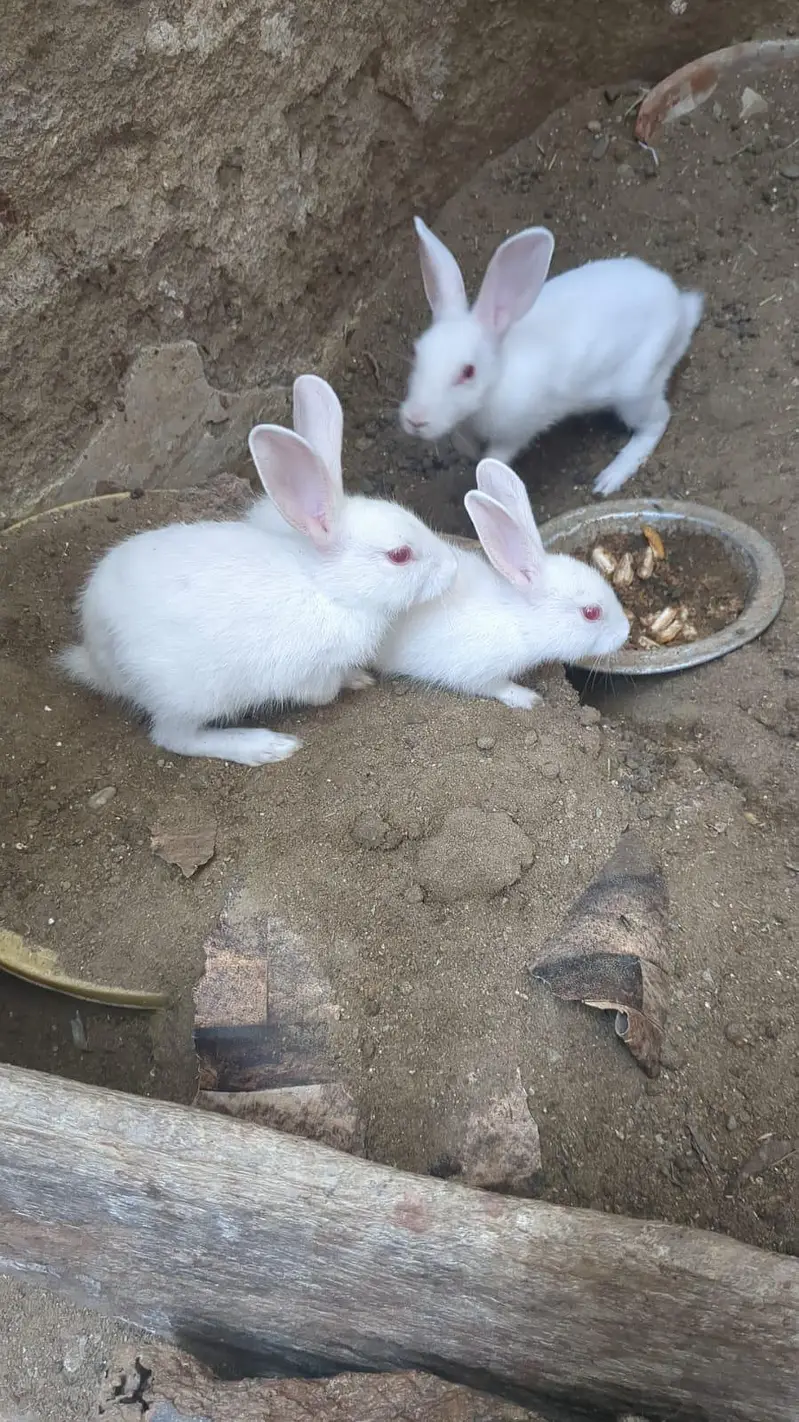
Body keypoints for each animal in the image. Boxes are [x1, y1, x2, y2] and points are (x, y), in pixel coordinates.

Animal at [58, 375, 458, 765]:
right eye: (400, 555)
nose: (452, 567)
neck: (328, 588)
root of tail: (97, 654)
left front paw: (359, 678)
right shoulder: (310, 671)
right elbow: (322, 693)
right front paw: (349, 683)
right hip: (192, 693)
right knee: (175, 737)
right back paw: (264, 747)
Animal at [373, 458, 630, 707]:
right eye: (591, 612)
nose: (625, 632)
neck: (518, 618)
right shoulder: (478, 672)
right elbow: (498, 688)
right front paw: (529, 699)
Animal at [399, 216, 703, 497]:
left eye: (468, 371)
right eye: (417, 352)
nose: (415, 420)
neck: (497, 379)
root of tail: (681, 309)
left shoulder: (519, 429)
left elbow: (496, 457)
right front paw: (468, 451)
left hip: (635, 393)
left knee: (657, 421)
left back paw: (609, 478)